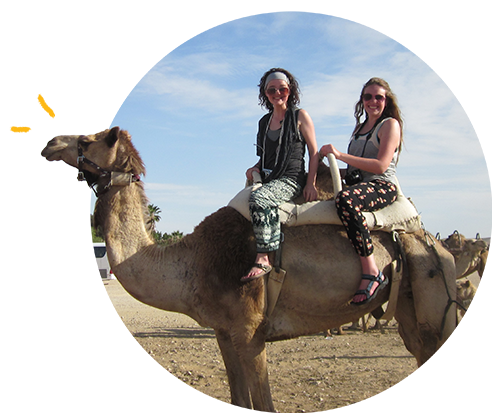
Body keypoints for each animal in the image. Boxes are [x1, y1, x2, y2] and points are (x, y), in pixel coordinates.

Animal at [41, 126, 458, 412]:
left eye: (87, 140)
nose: (51, 143)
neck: (194, 263)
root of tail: (429, 236)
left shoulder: (250, 330)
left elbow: (265, 407)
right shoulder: (224, 333)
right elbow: (239, 404)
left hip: (429, 287)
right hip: (407, 306)